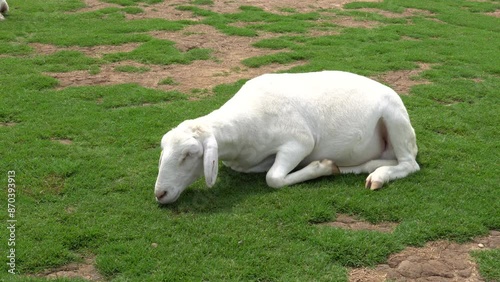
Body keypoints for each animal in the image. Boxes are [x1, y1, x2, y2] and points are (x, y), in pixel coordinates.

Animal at [154, 70, 420, 203]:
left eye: (189, 154)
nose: (160, 194)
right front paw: (327, 166)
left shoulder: (299, 142)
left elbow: (273, 179)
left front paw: (320, 167)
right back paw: (356, 168)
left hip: (395, 119)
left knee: (409, 165)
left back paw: (378, 176)